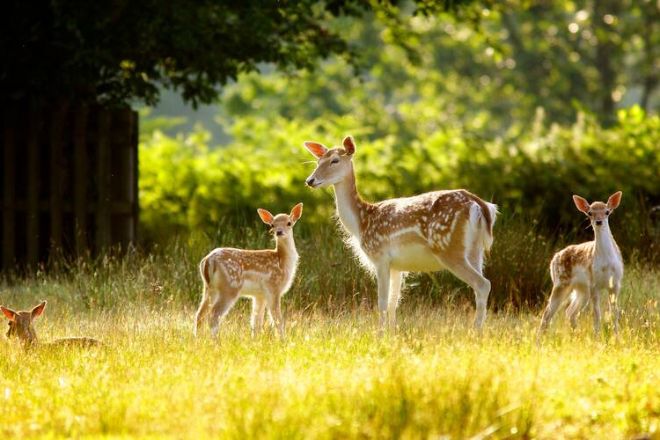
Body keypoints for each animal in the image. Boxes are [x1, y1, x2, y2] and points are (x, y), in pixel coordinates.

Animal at [194, 203, 303, 339]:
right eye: (272, 225)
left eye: (289, 223)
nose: (279, 232)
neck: (282, 261)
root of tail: (208, 261)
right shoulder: (273, 288)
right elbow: (277, 320)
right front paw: (283, 340)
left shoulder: (259, 295)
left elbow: (256, 322)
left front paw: (255, 340)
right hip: (230, 287)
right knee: (213, 315)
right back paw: (216, 341)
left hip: (209, 288)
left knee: (199, 315)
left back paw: (198, 339)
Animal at [304, 136, 497, 332]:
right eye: (318, 161)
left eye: (335, 160)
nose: (310, 180)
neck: (361, 222)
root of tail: (479, 205)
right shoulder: (397, 266)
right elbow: (393, 302)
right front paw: (392, 333)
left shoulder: (380, 256)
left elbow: (382, 302)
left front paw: (379, 334)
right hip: (475, 250)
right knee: (480, 285)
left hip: (449, 248)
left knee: (483, 284)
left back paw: (475, 331)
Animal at [538, 191, 624, 339]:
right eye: (589, 213)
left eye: (607, 212)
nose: (598, 221)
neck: (606, 262)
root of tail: (553, 259)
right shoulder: (594, 283)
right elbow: (596, 315)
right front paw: (597, 338)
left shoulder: (615, 284)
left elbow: (614, 314)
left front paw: (617, 339)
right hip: (561, 283)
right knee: (547, 314)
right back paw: (540, 341)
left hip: (582, 289)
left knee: (570, 312)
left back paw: (575, 336)